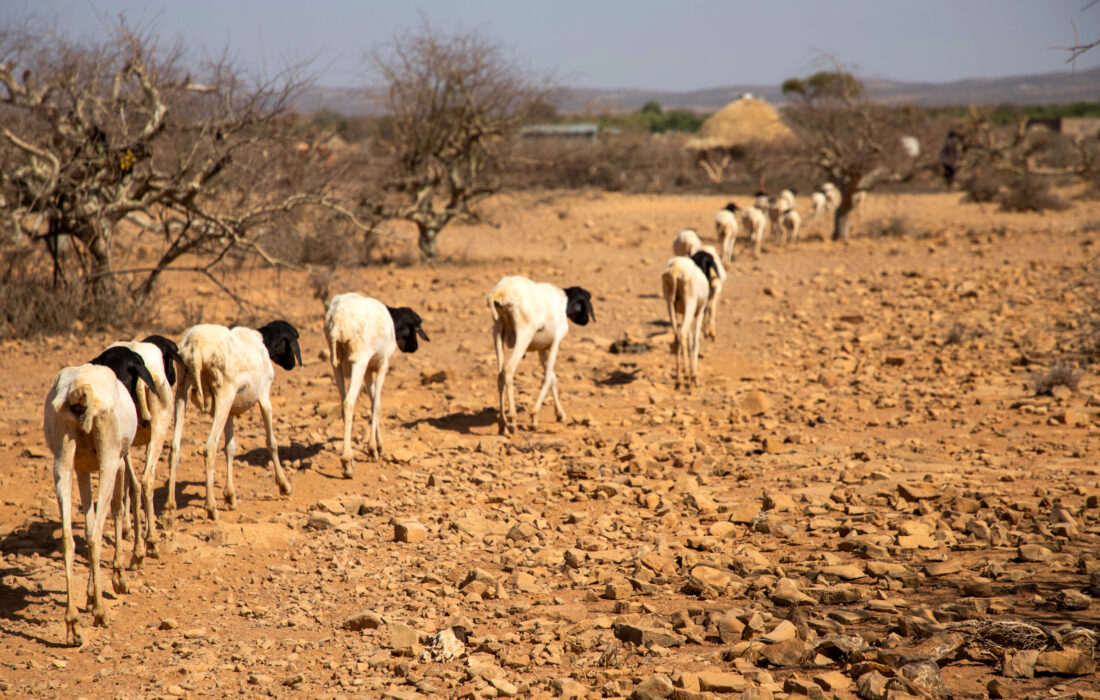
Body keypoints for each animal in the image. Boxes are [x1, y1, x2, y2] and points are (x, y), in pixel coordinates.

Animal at [44, 350, 155, 647]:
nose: (146, 419)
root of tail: (81, 389)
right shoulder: (117, 463)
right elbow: (116, 509)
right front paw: (116, 580)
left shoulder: (82, 469)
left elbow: (89, 517)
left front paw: (92, 593)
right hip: (108, 460)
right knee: (95, 534)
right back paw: (101, 613)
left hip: (62, 461)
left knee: (69, 538)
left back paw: (73, 625)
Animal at [166, 323, 301, 519]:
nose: (292, 364)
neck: (262, 341)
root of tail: (195, 348)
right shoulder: (264, 396)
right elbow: (272, 442)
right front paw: (284, 485)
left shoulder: (230, 411)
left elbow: (230, 448)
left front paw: (230, 497)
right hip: (224, 393)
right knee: (209, 448)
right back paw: (211, 508)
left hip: (183, 390)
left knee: (175, 447)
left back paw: (170, 505)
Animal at [323, 292, 426, 477]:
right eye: (414, 327)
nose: (414, 347)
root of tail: (339, 319)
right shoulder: (382, 365)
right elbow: (377, 404)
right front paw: (373, 449)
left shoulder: (369, 369)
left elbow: (372, 400)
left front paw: (379, 445)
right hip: (358, 361)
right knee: (349, 402)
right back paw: (347, 463)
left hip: (336, 364)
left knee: (343, 403)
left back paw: (350, 459)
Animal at [488, 276, 594, 435]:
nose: (586, 321)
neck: (563, 301)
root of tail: (501, 292)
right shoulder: (555, 343)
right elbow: (548, 378)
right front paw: (534, 419)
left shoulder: (542, 349)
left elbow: (552, 378)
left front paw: (560, 415)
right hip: (524, 336)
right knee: (508, 370)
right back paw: (512, 421)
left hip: (497, 333)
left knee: (500, 374)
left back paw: (502, 425)